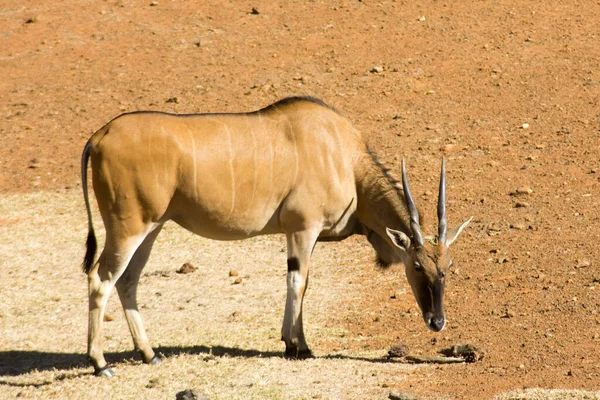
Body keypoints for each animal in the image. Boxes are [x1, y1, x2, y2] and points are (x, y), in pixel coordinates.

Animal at [82, 97, 472, 376]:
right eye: (417, 266)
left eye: (448, 267)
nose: (437, 322)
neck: (344, 157)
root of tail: (100, 135)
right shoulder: (303, 229)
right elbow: (299, 282)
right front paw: (300, 346)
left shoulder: (298, 234)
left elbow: (297, 282)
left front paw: (289, 342)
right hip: (128, 229)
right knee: (101, 279)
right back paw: (100, 363)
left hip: (151, 229)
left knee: (127, 281)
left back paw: (149, 354)